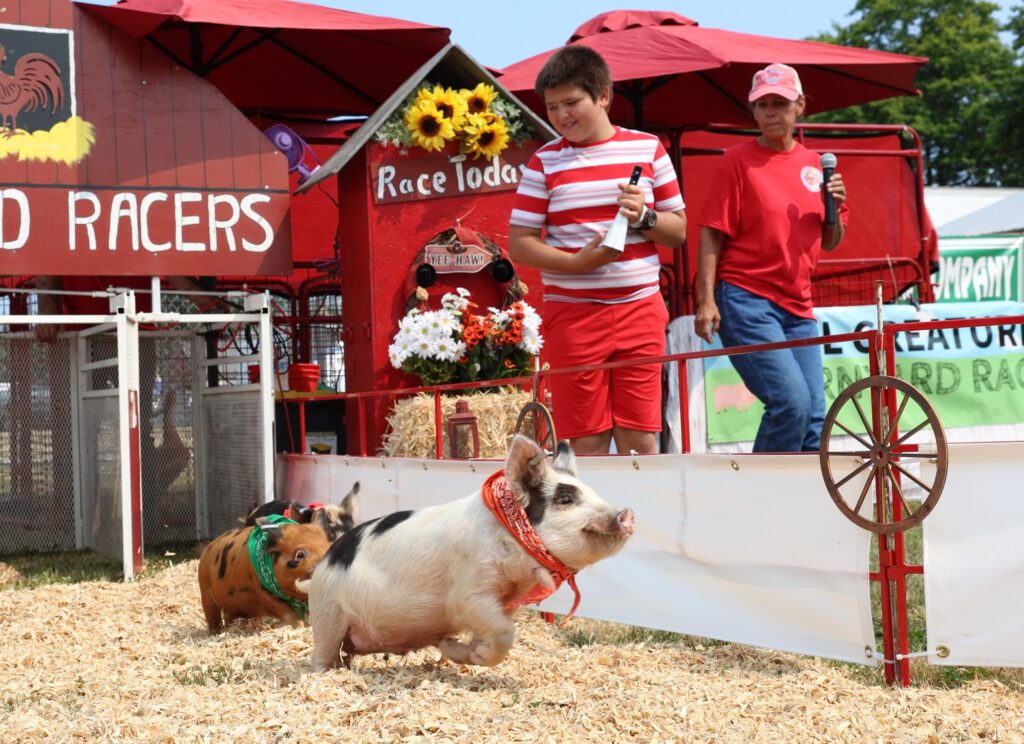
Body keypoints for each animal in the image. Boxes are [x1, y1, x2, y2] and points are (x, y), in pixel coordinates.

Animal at [194, 517, 327, 634]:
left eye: (328, 548)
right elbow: (288, 613)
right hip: (204, 589)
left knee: (229, 616)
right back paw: (216, 633)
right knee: (212, 615)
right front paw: (299, 626)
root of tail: (207, 548)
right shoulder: (263, 593)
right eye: (300, 555)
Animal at [299, 433, 630, 671]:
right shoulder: (469, 593)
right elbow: (504, 633)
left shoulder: (503, 603)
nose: (625, 513)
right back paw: (324, 676)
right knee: (322, 655)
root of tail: (324, 563)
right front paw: (459, 648)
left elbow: (498, 630)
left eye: (592, 492)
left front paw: (451, 645)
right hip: (328, 614)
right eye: (565, 499)